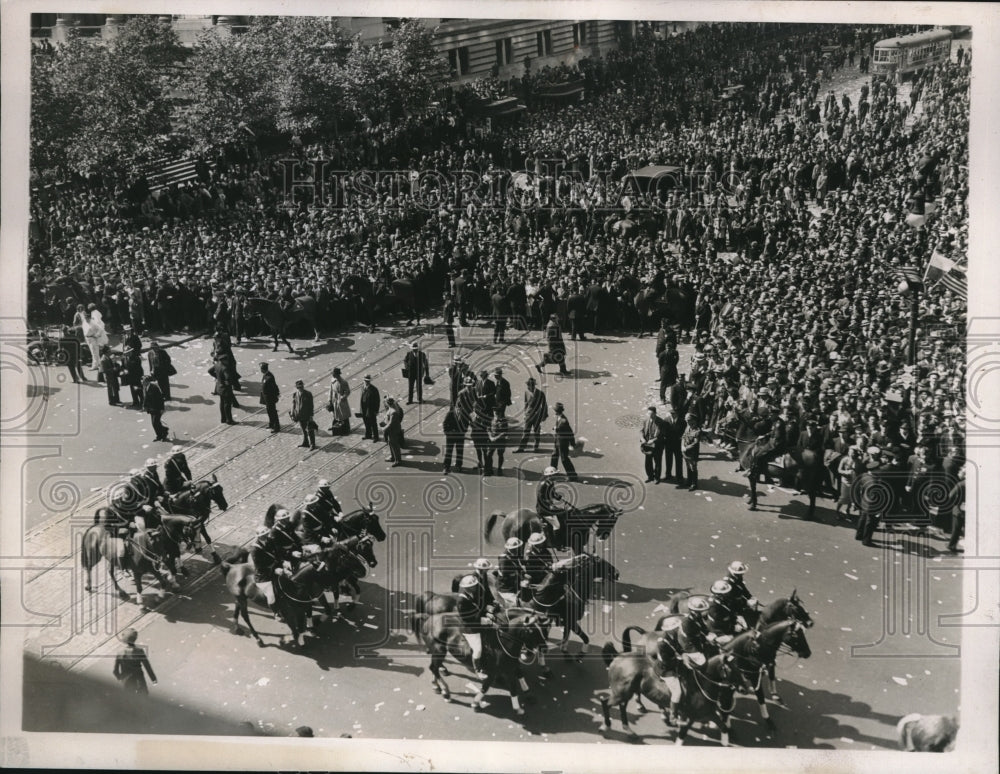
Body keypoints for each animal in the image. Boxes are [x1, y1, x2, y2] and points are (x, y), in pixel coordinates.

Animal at [414, 608, 556, 720]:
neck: (504, 642)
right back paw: (446, 692)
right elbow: (487, 687)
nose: (544, 648)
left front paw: (523, 702)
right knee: (434, 668)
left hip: (438, 653)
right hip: (439, 651)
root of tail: (429, 618)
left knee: (434, 668)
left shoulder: (510, 667)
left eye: (545, 629)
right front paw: (476, 703)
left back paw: (437, 685)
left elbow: (516, 682)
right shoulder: (495, 671)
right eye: (532, 631)